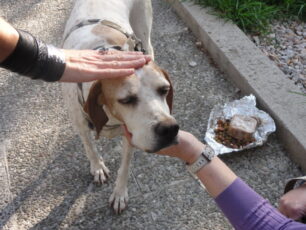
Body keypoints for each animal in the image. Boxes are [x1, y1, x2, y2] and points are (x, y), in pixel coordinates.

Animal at [61, 0, 178, 214]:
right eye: (126, 100)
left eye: (164, 90)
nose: (170, 129)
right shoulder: (80, 125)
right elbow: (90, 148)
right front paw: (98, 167)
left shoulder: (130, 136)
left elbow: (125, 167)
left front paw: (119, 194)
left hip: (145, 37)